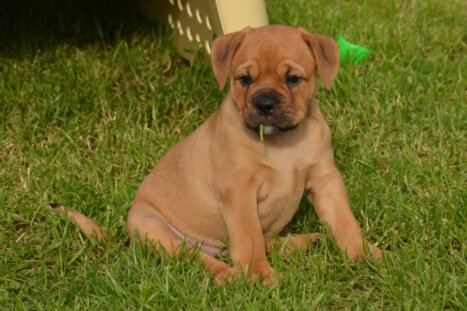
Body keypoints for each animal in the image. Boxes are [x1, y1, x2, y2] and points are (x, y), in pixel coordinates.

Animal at [56, 25, 382, 286]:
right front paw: (260, 276)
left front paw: (364, 254)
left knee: (261, 243)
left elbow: (345, 221)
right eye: (244, 79)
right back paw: (231, 275)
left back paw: (303, 243)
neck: (282, 143)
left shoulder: (326, 181)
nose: (265, 104)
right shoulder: (239, 193)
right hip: (156, 229)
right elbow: (249, 238)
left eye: (293, 78)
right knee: (201, 259)